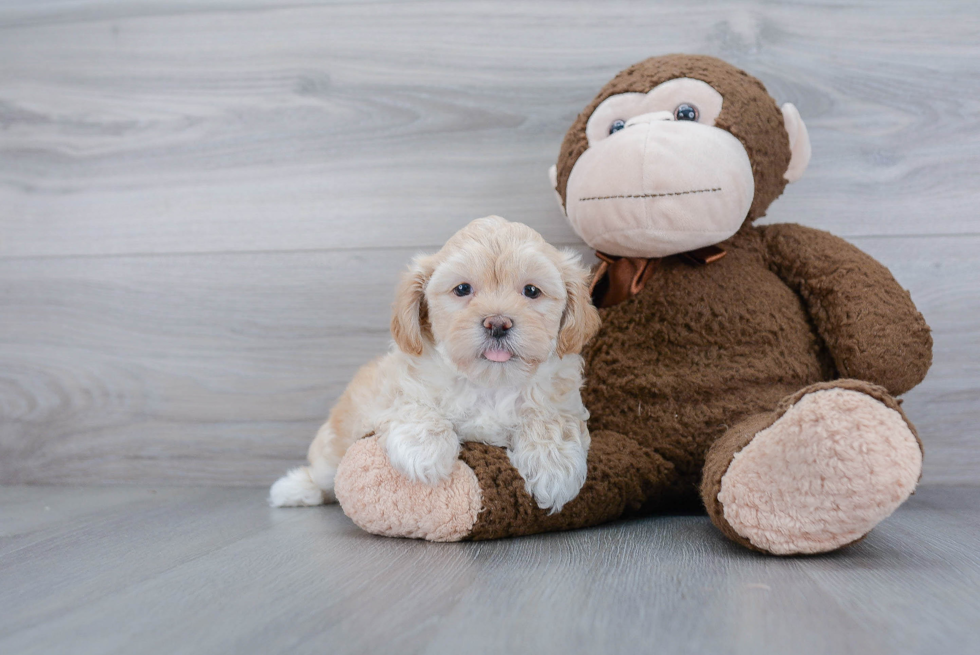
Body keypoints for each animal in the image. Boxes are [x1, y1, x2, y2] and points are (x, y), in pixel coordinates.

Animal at [272, 218, 600, 516]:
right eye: (463, 288)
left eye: (531, 291)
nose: (497, 323)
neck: (489, 384)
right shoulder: (395, 391)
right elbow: (416, 409)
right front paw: (426, 453)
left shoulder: (561, 400)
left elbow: (552, 422)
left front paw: (554, 469)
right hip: (336, 443)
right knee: (323, 473)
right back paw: (292, 489)